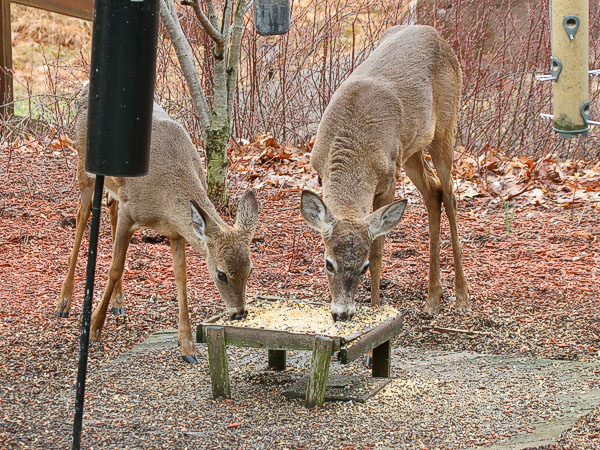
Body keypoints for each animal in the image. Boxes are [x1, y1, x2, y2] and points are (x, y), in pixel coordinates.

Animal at [56, 89, 260, 364]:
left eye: (250, 270)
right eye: (221, 274)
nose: (240, 312)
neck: (163, 198)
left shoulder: (176, 231)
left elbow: (181, 278)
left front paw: (187, 347)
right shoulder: (131, 212)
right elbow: (115, 267)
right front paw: (96, 326)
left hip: (114, 188)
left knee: (110, 207)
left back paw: (119, 302)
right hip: (83, 165)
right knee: (82, 215)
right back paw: (64, 304)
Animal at [300, 25, 468, 320]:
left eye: (363, 266)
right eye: (328, 263)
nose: (342, 313)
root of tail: (436, 34)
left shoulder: (388, 178)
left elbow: (379, 250)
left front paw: (376, 308)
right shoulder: (320, 171)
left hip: (446, 125)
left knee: (450, 195)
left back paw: (461, 296)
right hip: (410, 149)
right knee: (432, 191)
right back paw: (433, 299)